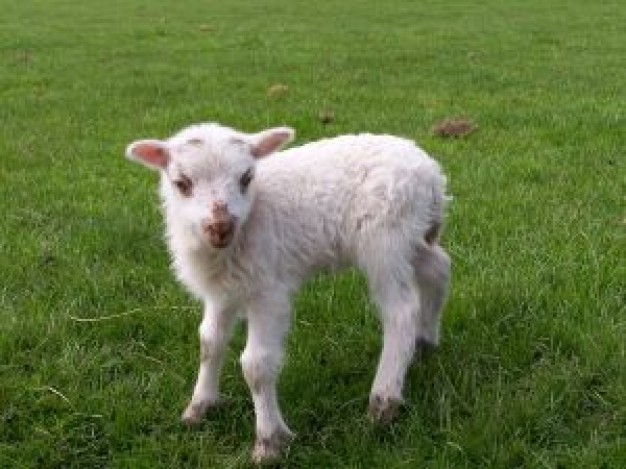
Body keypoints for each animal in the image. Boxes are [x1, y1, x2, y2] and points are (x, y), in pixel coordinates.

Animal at [125, 122, 448, 462]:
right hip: (414, 235)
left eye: (246, 178)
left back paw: (383, 401)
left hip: (385, 238)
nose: (221, 227)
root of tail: (430, 172)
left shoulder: (268, 291)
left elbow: (256, 364)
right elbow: (209, 342)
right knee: (438, 268)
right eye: (181, 183)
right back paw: (425, 342)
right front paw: (200, 406)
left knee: (400, 312)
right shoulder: (223, 290)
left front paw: (270, 441)